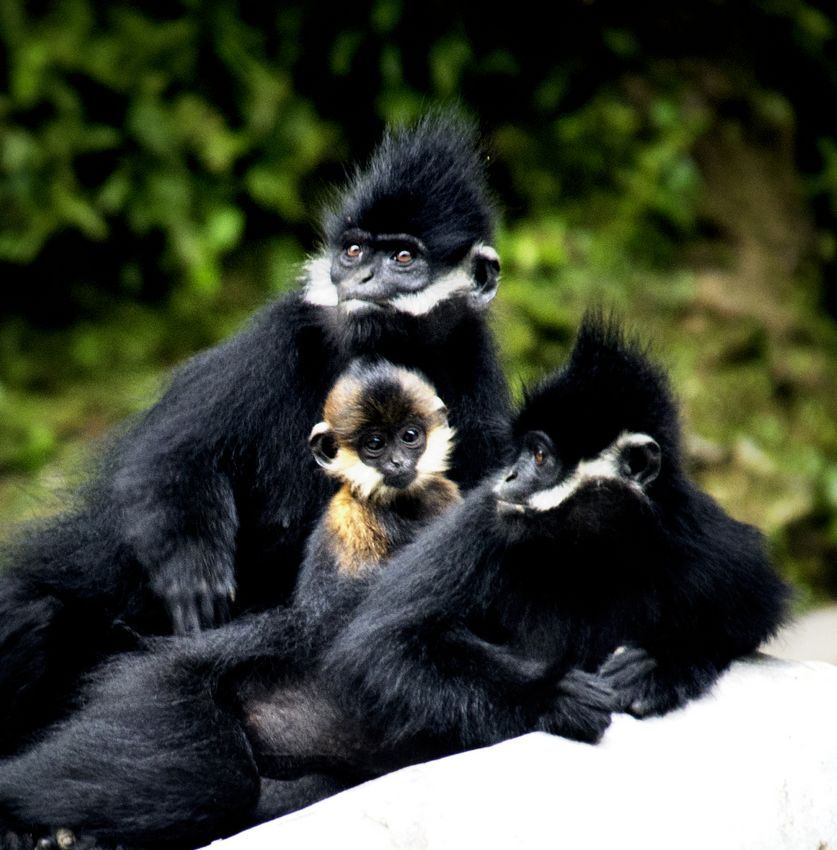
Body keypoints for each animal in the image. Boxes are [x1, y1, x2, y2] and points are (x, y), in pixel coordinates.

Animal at [0, 109, 510, 752]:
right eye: (352, 251)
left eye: (402, 258)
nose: (362, 277)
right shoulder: (284, 331)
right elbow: (172, 453)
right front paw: (195, 574)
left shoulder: (477, 375)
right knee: (34, 610)